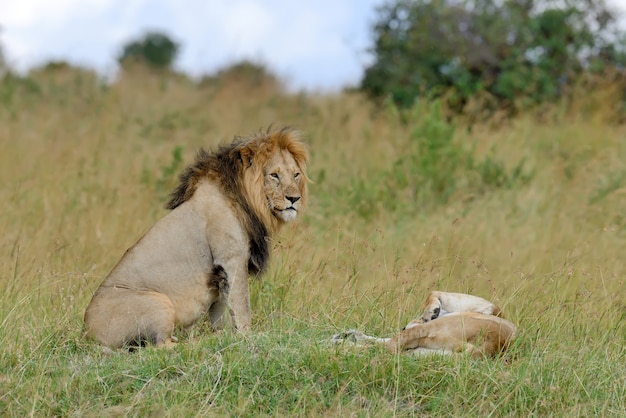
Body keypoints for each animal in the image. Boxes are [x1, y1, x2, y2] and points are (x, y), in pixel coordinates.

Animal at [85, 127, 310, 350]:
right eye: (274, 175)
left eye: (296, 174)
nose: (294, 199)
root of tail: (87, 335)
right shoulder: (232, 259)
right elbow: (242, 305)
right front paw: (249, 337)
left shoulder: (221, 274)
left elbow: (222, 313)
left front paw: (223, 336)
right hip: (157, 303)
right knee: (160, 346)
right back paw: (193, 343)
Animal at [330, 290, 516, 360]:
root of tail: (494, 344)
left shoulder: (487, 306)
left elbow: (434, 292)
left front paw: (430, 312)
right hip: (419, 353)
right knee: (388, 346)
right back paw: (344, 337)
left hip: (423, 336)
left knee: (384, 348)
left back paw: (336, 344)